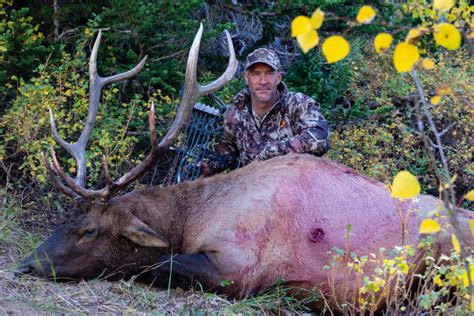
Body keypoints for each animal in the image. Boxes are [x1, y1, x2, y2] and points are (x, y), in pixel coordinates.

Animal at [16, 24, 472, 312]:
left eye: (90, 230)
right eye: (65, 217)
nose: (28, 263)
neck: (189, 218)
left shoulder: (240, 268)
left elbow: (153, 264)